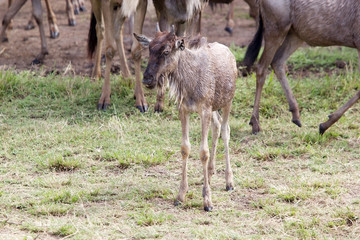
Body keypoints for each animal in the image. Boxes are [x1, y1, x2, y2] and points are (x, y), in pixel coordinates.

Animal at [134, 28, 238, 212]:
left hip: (227, 102)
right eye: (149, 49)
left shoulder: (204, 109)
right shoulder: (184, 110)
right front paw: (180, 195)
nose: (147, 79)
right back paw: (210, 173)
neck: (189, 81)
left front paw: (207, 201)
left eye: (166, 51)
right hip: (214, 107)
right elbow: (185, 148)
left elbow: (203, 152)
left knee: (225, 131)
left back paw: (229, 182)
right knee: (217, 126)